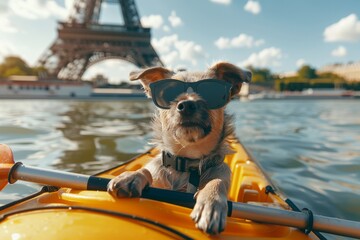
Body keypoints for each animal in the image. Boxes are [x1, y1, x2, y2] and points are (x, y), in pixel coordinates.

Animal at [108, 61, 252, 234]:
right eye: (168, 92)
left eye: (211, 91)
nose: (187, 105)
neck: (187, 162)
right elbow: (146, 170)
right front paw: (131, 176)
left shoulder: (220, 174)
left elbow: (216, 181)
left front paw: (211, 202)